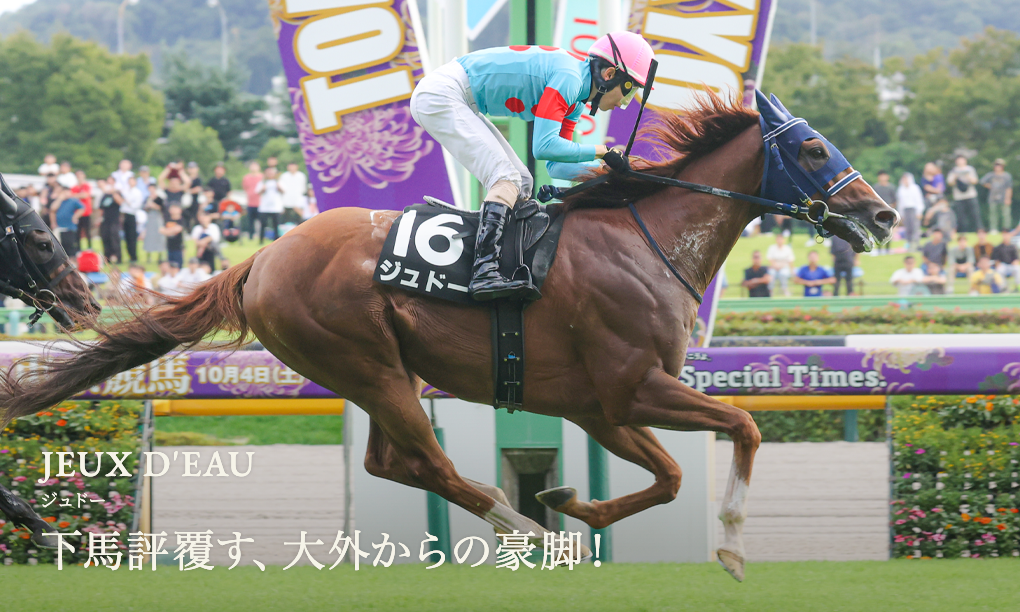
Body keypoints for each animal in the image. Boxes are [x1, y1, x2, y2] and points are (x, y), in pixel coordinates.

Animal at [0, 91, 896, 579]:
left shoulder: (600, 407)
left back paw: (532, 523)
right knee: (422, 460)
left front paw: (573, 502)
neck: (646, 241)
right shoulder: (630, 388)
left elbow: (674, 477)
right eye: (813, 147)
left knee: (391, 460)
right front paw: (732, 548)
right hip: (365, 362)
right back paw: (525, 530)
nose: (882, 212)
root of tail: (260, 259)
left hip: (377, 373)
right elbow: (741, 426)